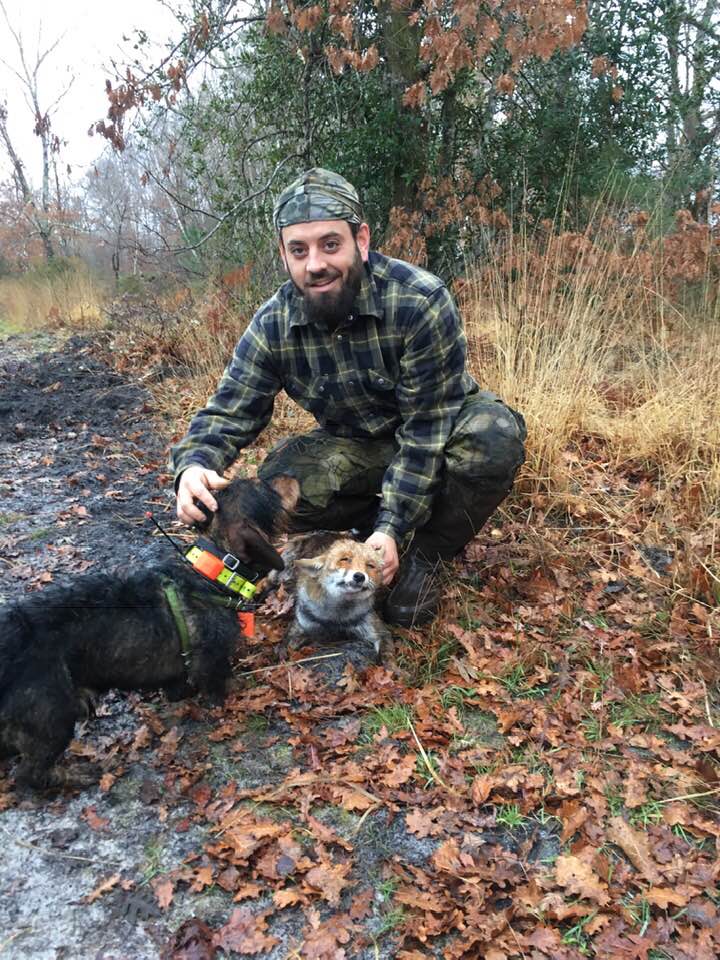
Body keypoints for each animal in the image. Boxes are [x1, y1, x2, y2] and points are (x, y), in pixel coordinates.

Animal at [0, 472, 298, 788]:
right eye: (264, 488)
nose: (290, 474)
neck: (213, 573)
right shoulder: (211, 661)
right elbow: (219, 687)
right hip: (53, 715)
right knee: (29, 774)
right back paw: (79, 774)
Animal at [274, 536, 390, 680]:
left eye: (370, 565)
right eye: (344, 559)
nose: (359, 576)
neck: (335, 618)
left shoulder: (376, 631)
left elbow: (386, 658)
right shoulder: (302, 624)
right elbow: (287, 640)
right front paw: (281, 654)